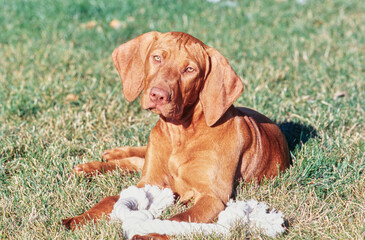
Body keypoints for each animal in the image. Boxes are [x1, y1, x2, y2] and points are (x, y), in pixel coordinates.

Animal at [62, 31, 290, 238]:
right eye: (157, 58)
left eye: (189, 69)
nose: (158, 95)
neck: (179, 134)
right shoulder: (148, 182)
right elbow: (109, 199)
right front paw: (80, 219)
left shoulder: (212, 197)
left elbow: (181, 218)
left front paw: (151, 232)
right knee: (137, 159)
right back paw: (96, 164)